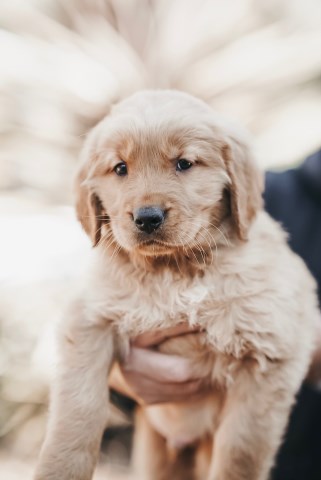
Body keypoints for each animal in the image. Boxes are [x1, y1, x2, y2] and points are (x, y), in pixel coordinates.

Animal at [34, 91, 318, 480]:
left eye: (184, 164)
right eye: (120, 168)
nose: (147, 218)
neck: (175, 269)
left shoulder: (271, 351)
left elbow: (240, 452)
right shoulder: (89, 317)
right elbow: (79, 407)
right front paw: (59, 468)